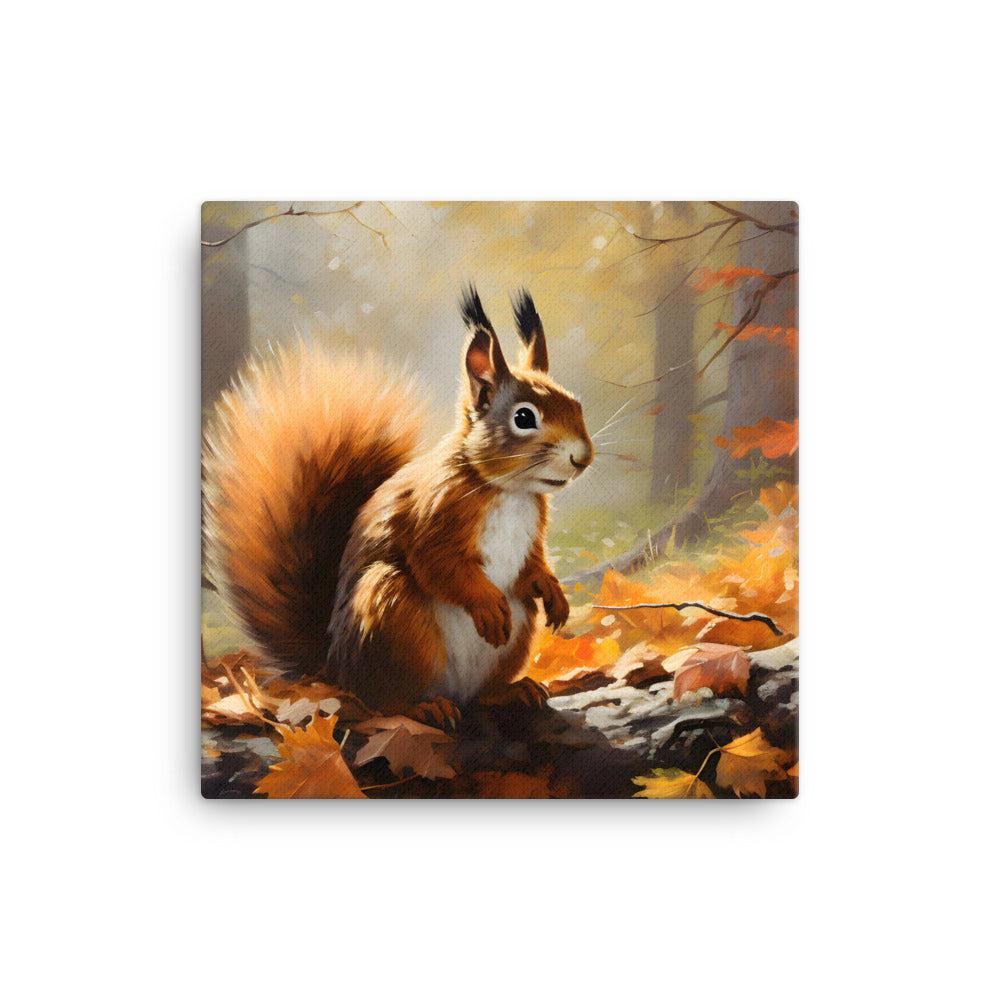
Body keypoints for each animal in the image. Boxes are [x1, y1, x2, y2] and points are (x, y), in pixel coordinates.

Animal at [203, 285, 593, 724]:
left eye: (576, 405)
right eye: (524, 418)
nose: (582, 457)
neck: (507, 491)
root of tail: (337, 671)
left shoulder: (532, 532)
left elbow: (532, 564)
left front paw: (553, 591)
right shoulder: (431, 515)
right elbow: (438, 564)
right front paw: (487, 604)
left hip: (513, 632)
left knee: (480, 693)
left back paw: (510, 691)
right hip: (392, 612)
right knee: (384, 703)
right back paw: (426, 706)